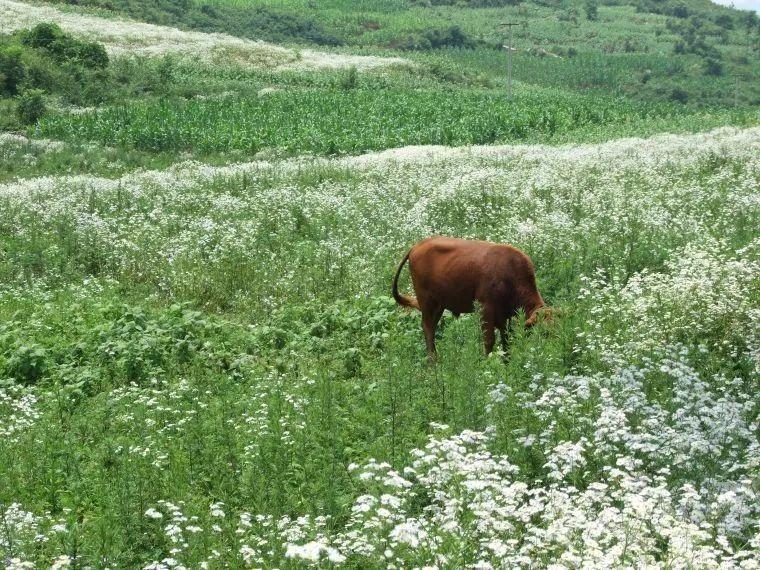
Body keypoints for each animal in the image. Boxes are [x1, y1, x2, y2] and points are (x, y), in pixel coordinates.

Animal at [392, 235, 548, 356]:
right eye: (544, 332)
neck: (510, 273)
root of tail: (417, 246)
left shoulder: (506, 315)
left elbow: (506, 340)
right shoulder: (485, 309)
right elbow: (489, 340)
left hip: (439, 305)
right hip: (427, 302)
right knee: (428, 328)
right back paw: (433, 362)